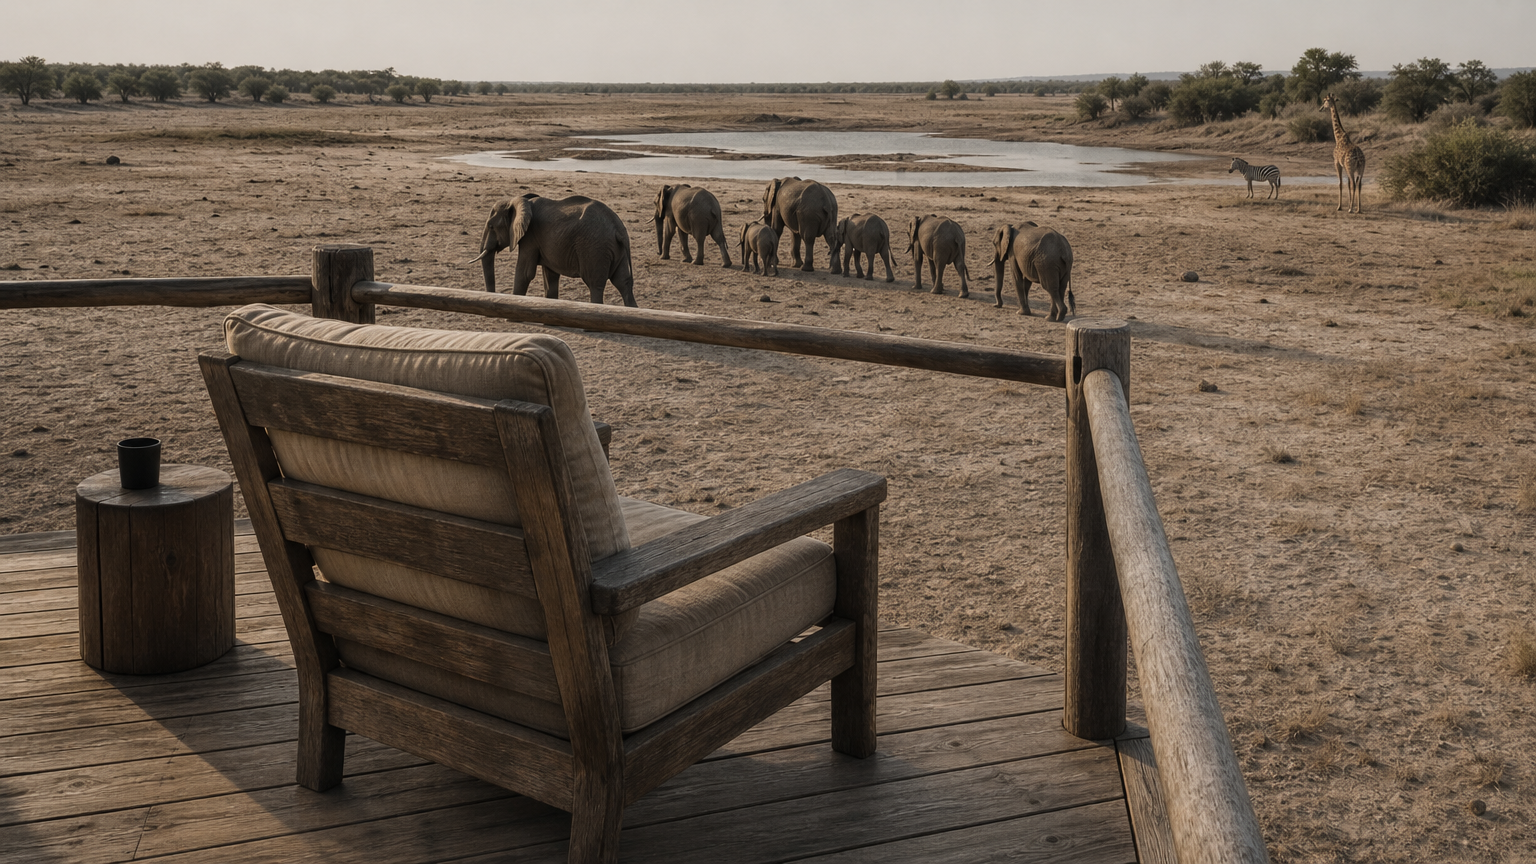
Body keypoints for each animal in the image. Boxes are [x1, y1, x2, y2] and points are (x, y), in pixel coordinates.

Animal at [473, 193, 637, 307]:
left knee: (595, 284)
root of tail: (618, 229)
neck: (518, 201)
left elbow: (524, 273)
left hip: (595, 249)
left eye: (491, 226)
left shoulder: (530, 237)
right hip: (615, 250)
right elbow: (550, 276)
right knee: (623, 282)